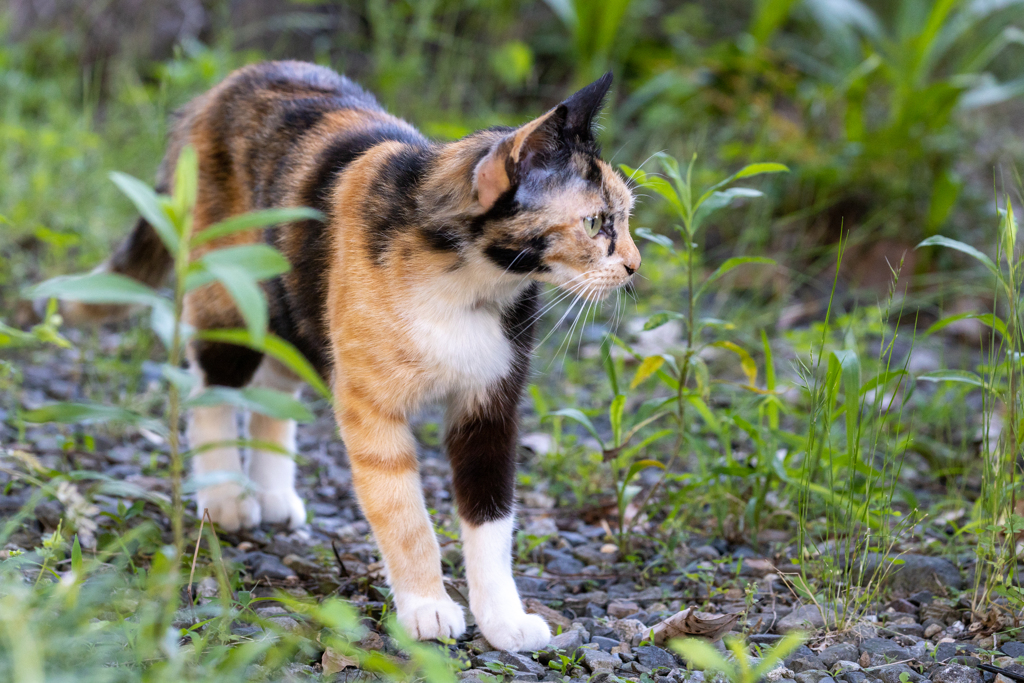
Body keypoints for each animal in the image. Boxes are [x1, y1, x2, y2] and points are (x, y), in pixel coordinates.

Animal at [66, 62, 638, 651]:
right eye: (596, 224)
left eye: (626, 220)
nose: (634, 265)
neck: (469, 282)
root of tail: (227, 84)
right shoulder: (371, 408)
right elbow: (404, 514)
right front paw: (427, 608)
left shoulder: (491, 406)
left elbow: (492, 520)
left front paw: (503, 618)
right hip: (229, 291)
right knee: (212, 388)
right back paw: (224, 495)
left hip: (294, 301)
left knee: (275, 387)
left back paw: (274, 492)